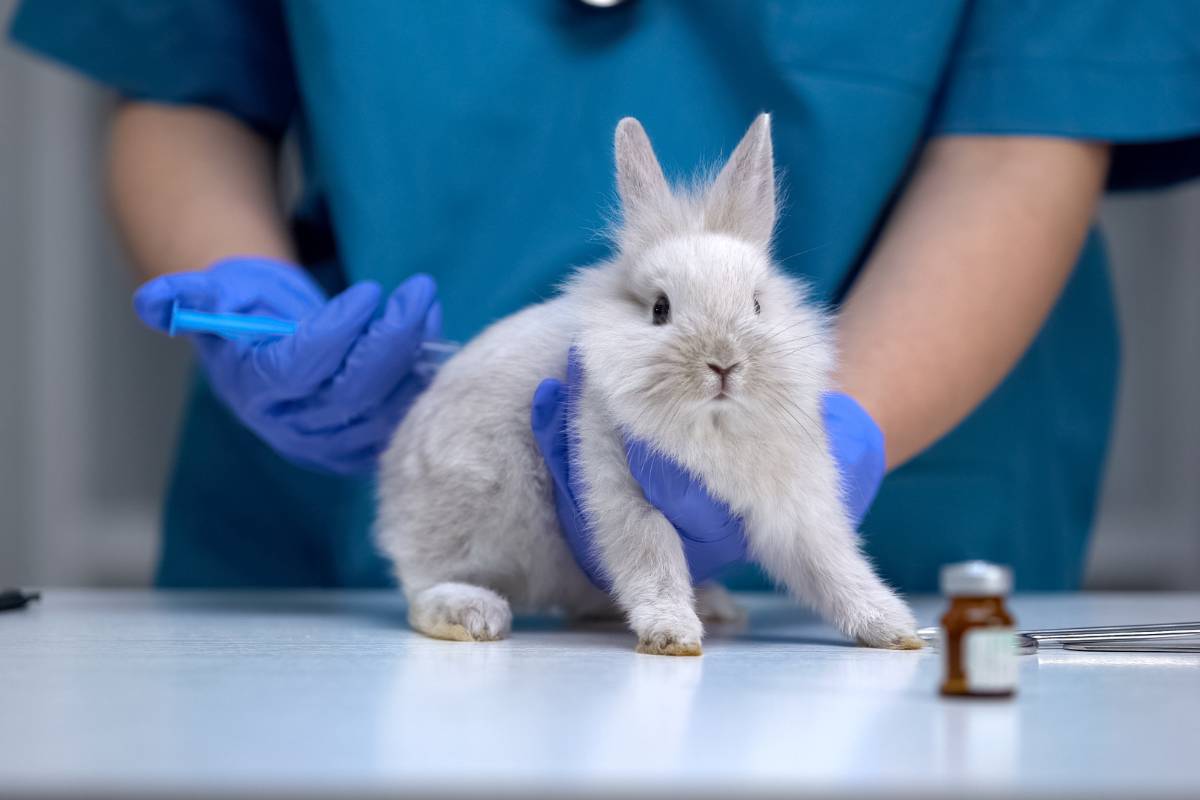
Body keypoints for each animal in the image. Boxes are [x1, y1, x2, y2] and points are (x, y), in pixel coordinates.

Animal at [376, 114, 922, 655]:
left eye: (757, 304)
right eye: (660, 309)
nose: (724, 363)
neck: (713, 427)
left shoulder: (797, 506)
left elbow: (833, 565)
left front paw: (894, 629)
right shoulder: (620, 487)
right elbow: (652, 558)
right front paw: (672, 635)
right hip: (470, 506)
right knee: (423, 587)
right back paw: (472, 613)